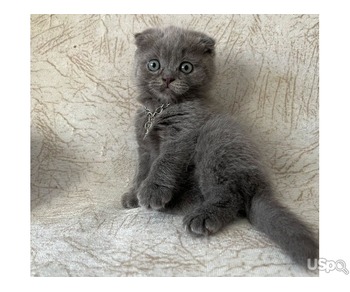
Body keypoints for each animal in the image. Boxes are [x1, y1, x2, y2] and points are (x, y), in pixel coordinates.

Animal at [121, 26, 318, 266]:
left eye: (186, 67)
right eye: (154, 64)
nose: (168, 78)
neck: (161, 109)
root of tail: (259, 189)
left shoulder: (182, 135)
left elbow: (164, 163)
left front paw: (152, 192)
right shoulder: (144, 146)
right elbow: (142, 170)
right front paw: (134, 195)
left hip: (216, 139)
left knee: (229, 196)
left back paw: (203, 217)